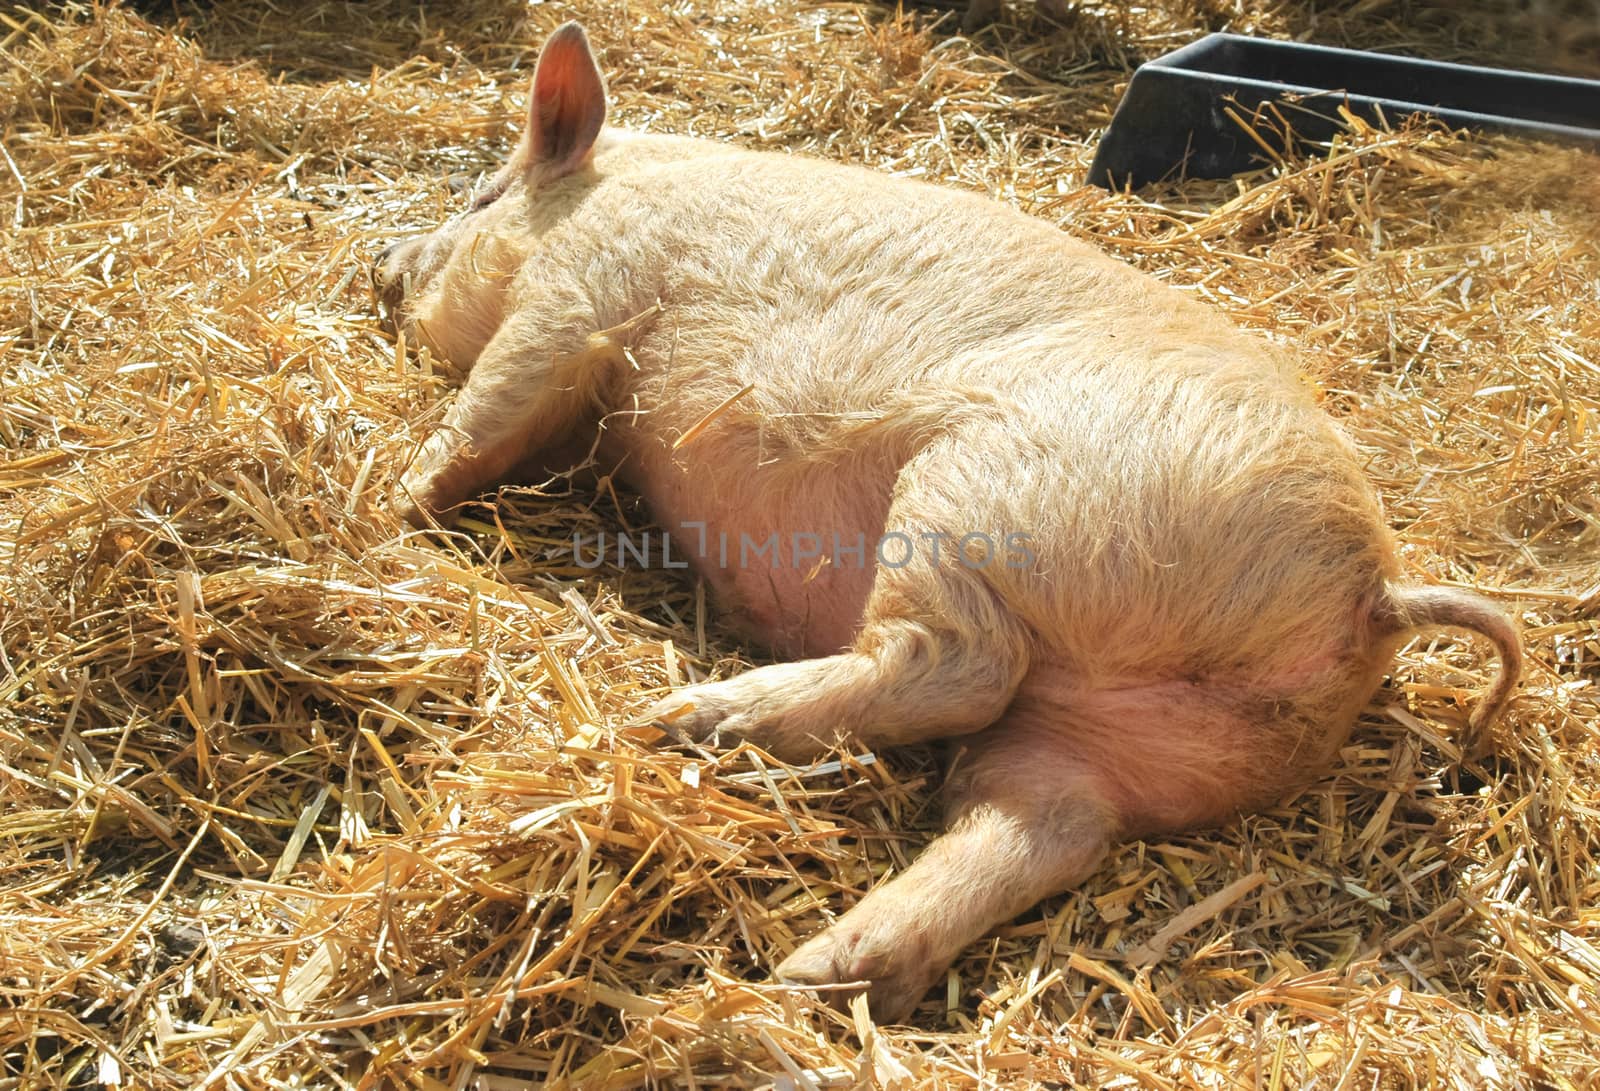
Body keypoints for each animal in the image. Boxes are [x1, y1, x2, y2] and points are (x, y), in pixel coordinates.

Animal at [368, 21, 1516, 1023]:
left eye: (482, 193)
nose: (381, 261)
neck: (615, 185)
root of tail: (1373, 591)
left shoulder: (581, 293)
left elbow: (488, 413)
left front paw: (391, 503)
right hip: (1146, 740)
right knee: (1046, 822)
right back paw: (817, 974)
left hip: (979, 498)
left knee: (956, 666)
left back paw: (686, 721)